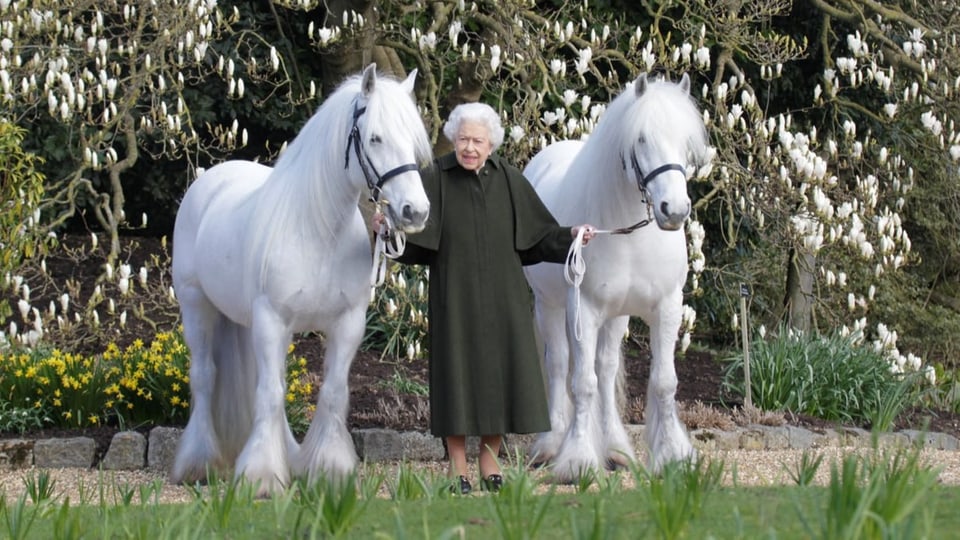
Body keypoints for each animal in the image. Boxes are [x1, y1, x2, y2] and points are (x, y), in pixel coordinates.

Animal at [170, 65, 432, 496]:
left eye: (412, 141)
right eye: (375, 138)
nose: (416, 211)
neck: (318, 230)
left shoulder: (347, 324)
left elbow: (331, 392)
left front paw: (329, 470)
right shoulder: (272, 319)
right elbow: (270, 394)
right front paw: (261, 477)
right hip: (197, 307)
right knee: (205, 377)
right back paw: (199, 463)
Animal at [520, 71, 708, 480]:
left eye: (686, 141)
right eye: (641, 139)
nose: (674, 210)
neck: (628, 233)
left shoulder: (667, 307)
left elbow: (663, 382)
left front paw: (673, 455)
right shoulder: (584, 310)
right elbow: (582, 383)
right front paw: (576, 460)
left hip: (616, 316)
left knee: (605, 370)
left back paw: (616, 450)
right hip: (549, 306)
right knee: (559, 365)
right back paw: (550, 444)